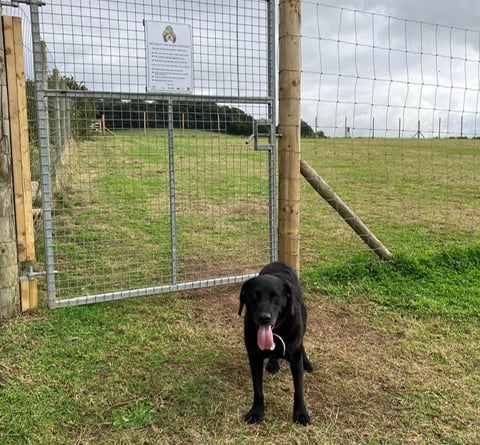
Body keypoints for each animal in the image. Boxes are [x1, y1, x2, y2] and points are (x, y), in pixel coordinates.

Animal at [238, 260, 314, 424]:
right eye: (254, 296)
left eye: (276, 297)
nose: (264, 317)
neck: (277, 331)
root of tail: (278, 262)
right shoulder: (254, 358)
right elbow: (258, 389)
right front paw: (256, 411)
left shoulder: (295, 360)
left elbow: (298, 391)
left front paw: (301, 414)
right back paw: (273, 363)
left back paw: (307, 363)